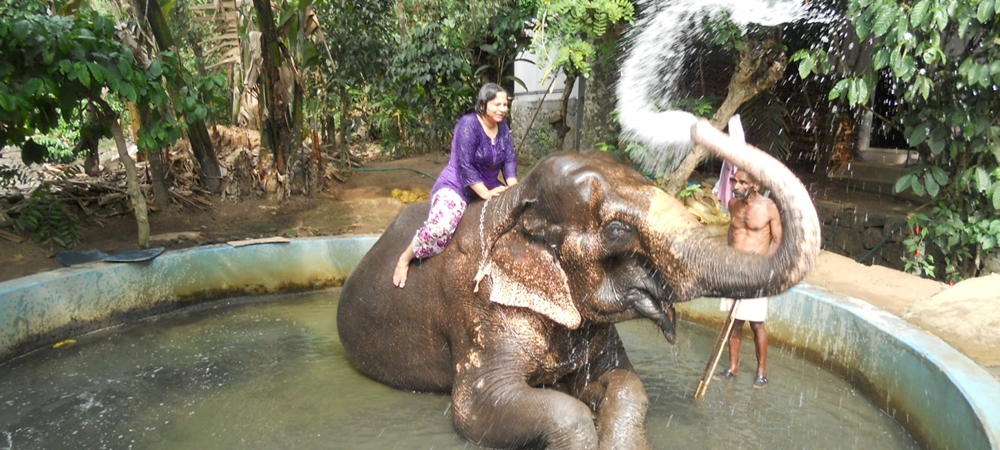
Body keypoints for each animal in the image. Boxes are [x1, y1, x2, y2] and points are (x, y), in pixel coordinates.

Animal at [338, 120, 820, 450]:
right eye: (616, 231)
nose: (699, 125)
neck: (516, 204)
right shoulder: (478, 311)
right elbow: (477, 409)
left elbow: (625, 382)